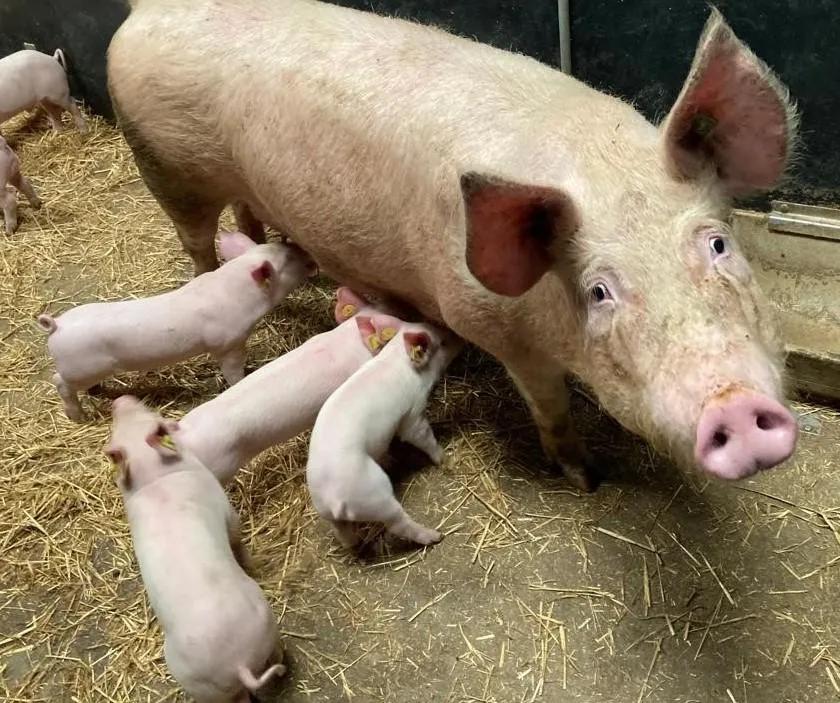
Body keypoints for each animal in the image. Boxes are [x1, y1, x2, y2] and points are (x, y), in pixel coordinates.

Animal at [38, 231, 313, 421]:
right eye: (288, 260)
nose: (307, 253)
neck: (239, 291)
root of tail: (57, 326)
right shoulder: (227, 343)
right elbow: (232, 370)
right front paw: (242, 378)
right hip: (80, 368)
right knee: (58, 381)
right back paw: (78, 417)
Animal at [106, 395, 284, 703]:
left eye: (150, 419)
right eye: (158, 423)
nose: (120, 400)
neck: (156, 479)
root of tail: (237, 663)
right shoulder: (224, 507)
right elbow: (237, 537)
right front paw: (254, 563)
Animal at [307, 321, 462, 548]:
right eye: (442, 342)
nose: (461, 338)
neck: (398, 359)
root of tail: (333, 498)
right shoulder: (413, 414)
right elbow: (423, 437)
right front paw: (445, 459)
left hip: (329, 514)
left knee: (343, 535)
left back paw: (356, 543)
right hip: (375, 494)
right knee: (398, 525)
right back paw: (436, 536)